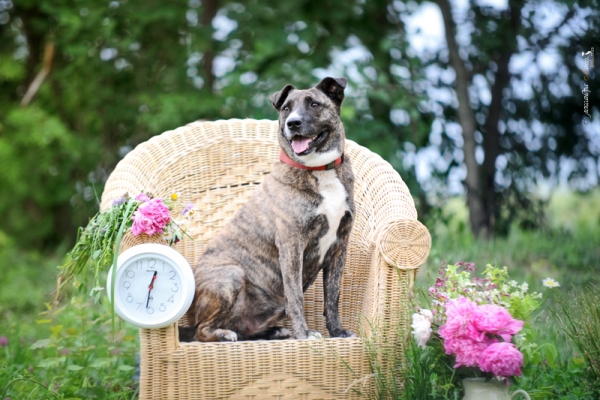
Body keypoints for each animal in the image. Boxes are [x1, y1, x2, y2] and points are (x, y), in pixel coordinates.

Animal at [180, 77, 355, 342]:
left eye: (314, 104)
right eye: (286, 108)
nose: (293, 123)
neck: (319, 169)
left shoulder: (338, 248)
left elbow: (333, 297)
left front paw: (337, 331)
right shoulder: (291, 246)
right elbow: (295, 296)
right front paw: (303, 334)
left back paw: (273, 331)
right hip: (230, 276)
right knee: (201, 331)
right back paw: (223, 334)